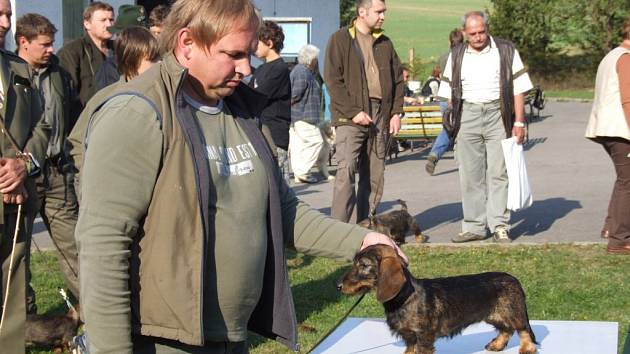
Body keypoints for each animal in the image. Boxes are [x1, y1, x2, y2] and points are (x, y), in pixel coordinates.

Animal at [338, 245, 540, 354]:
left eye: (363, 265)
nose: (338, 286)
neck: (405, 297)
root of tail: (515, 279)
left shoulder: (423, 336)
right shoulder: (410, 337)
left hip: (513, 312)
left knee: (522, 329)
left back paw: (527, 348)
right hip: (494, 315)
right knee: (506, 330)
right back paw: (497, 344)